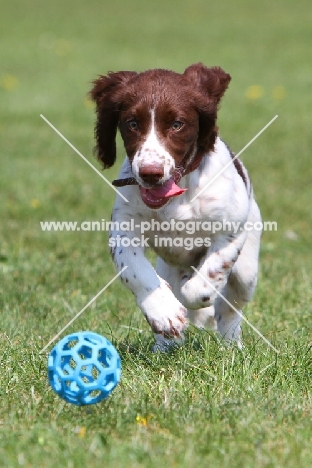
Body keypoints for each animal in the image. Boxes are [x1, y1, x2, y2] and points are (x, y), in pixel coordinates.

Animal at [91, 65, 262, 352]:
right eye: (132, 123)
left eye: (177, 124)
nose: (150, 174)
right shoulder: (124, 230)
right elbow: (137, 273)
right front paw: (165, 313)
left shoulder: (229, 232)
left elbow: (200, 287)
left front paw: (188, 300)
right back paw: (165, 346)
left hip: (246, 271)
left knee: (230, 308)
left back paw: (231, 347)